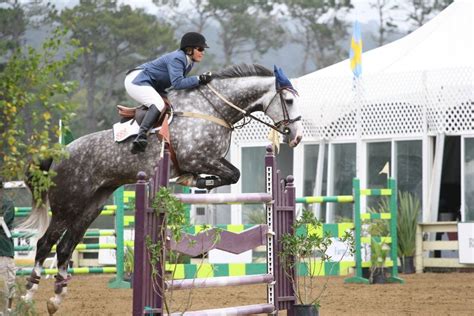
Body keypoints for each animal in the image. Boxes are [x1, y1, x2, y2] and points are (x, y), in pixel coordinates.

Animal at [20, 63, 302, 312]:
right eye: (288, 101)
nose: (297, 137)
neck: (213, 109)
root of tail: (58, 154)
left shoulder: (209, 160)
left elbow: (233, 174)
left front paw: (195, 181)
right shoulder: (197, 158)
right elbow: (232, 174)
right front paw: (195, 181)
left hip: (91, 207)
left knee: (65, 247)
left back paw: (56, 299)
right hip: (68, 204)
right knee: (45, 243)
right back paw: (28, 295)